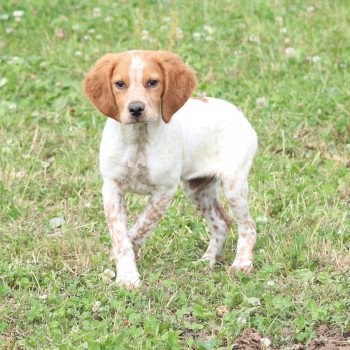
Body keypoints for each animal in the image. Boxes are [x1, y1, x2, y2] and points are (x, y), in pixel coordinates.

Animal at [82, 50, 258, 290]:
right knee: (221, 223)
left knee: (248, 225)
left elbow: (141, 226)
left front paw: (125, 271)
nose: (136, 109)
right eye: (119, 84)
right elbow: (121, 236)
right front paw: (126, 273)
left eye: (152, 82)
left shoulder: (164, 190)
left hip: (233, 185)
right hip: (197, 188)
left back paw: (242, 263)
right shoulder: (111, 188)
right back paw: (206, 261)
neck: (139, 140)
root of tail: (237, 111)